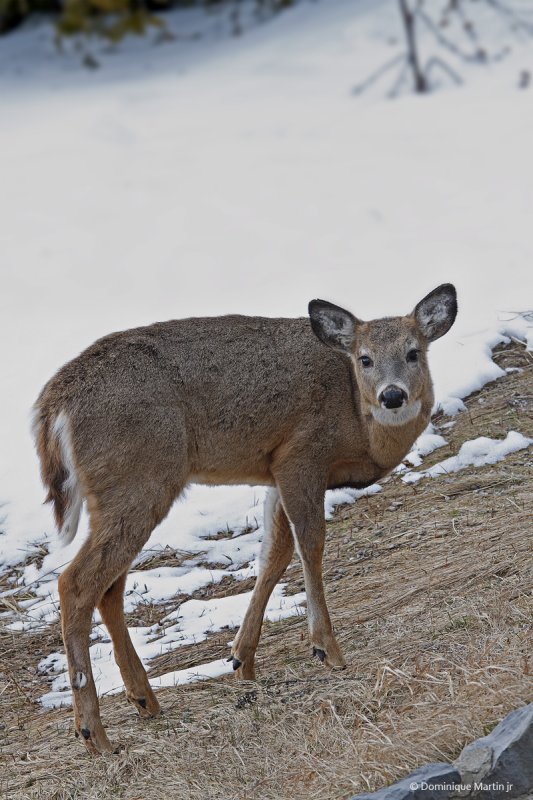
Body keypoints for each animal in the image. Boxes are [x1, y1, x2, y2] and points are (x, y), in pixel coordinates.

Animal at [33, 282, 458, 752]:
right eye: (364, 358)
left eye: (413, 352)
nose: (392, 395)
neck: (360, 428)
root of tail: (53, 405)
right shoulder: (300, 452)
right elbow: (310, 544)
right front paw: (326, 649)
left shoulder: (274, 470)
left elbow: (274, 553)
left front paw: (243, 659)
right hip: (139, 479)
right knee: (76, 583)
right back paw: (95, 733)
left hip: (125, 492)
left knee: (109, 588)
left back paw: (145, 701)